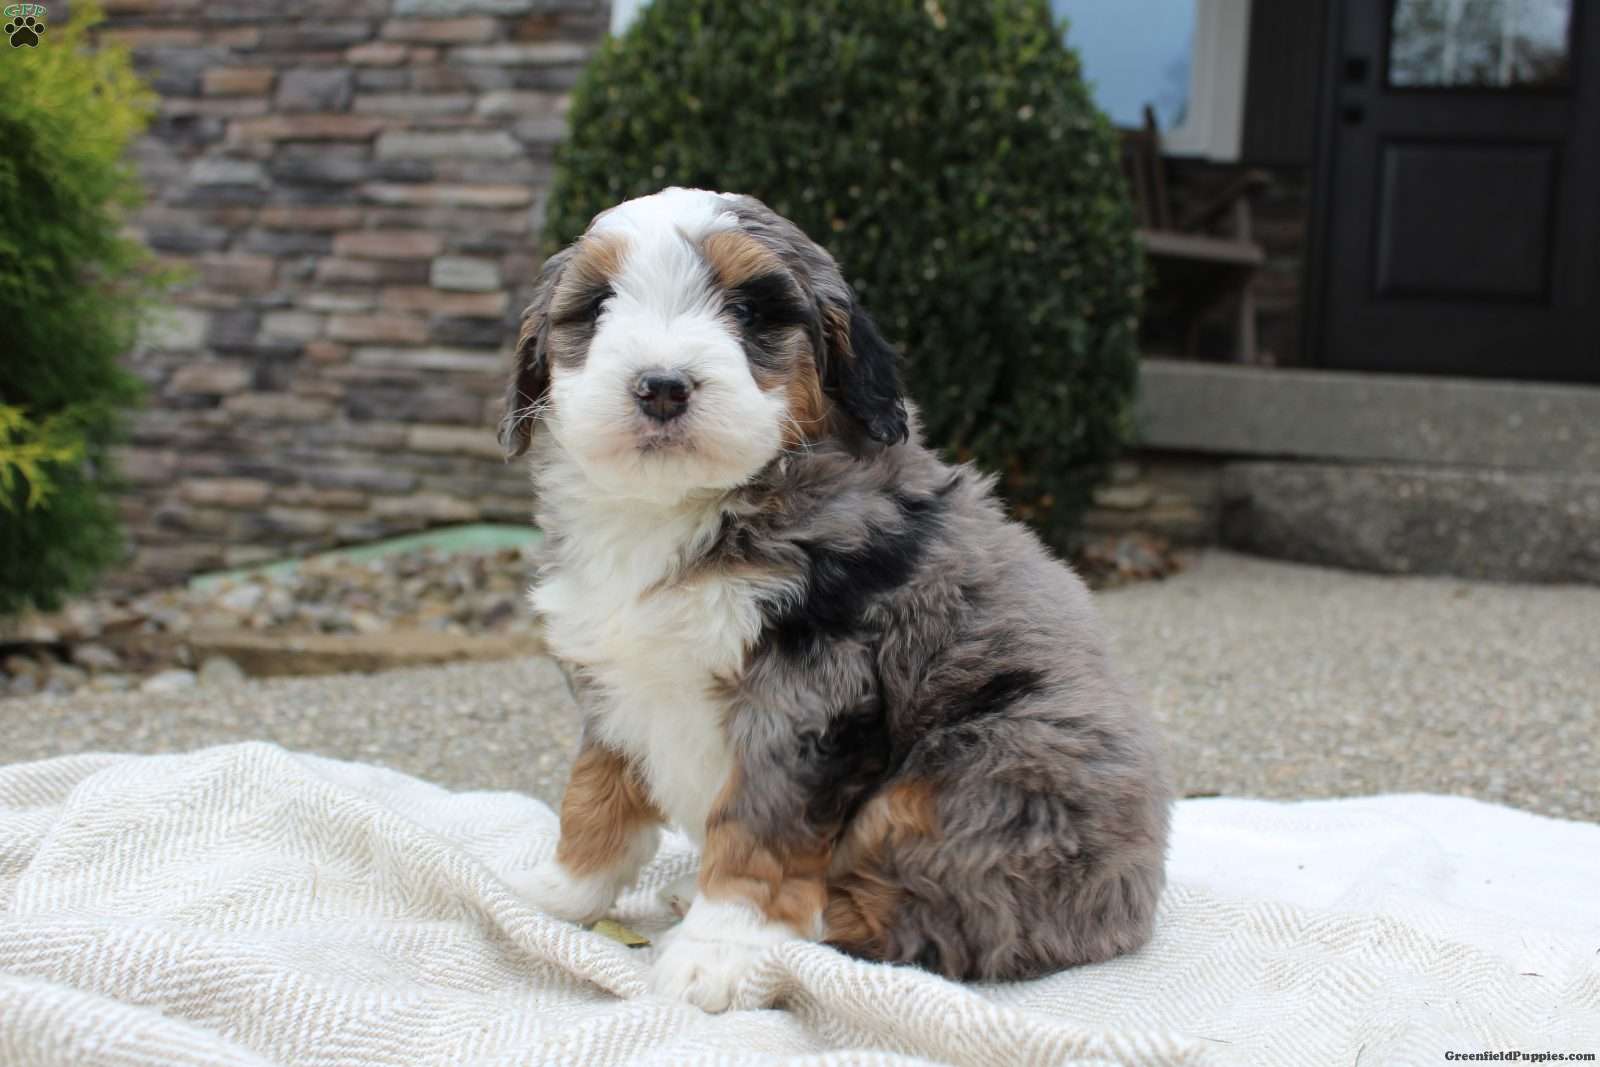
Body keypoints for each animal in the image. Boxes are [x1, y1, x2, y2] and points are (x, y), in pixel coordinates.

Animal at [501, 188, 1171, 1012]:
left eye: (750, 310)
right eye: (596, 306)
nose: (661, 386)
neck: (685, 510)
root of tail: (1131, 907)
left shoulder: (808, 696)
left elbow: (760, 830)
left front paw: (718, 952)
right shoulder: (615, 682)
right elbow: (595, 794)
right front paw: (557, 892)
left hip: (980, 779)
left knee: (929, 917)